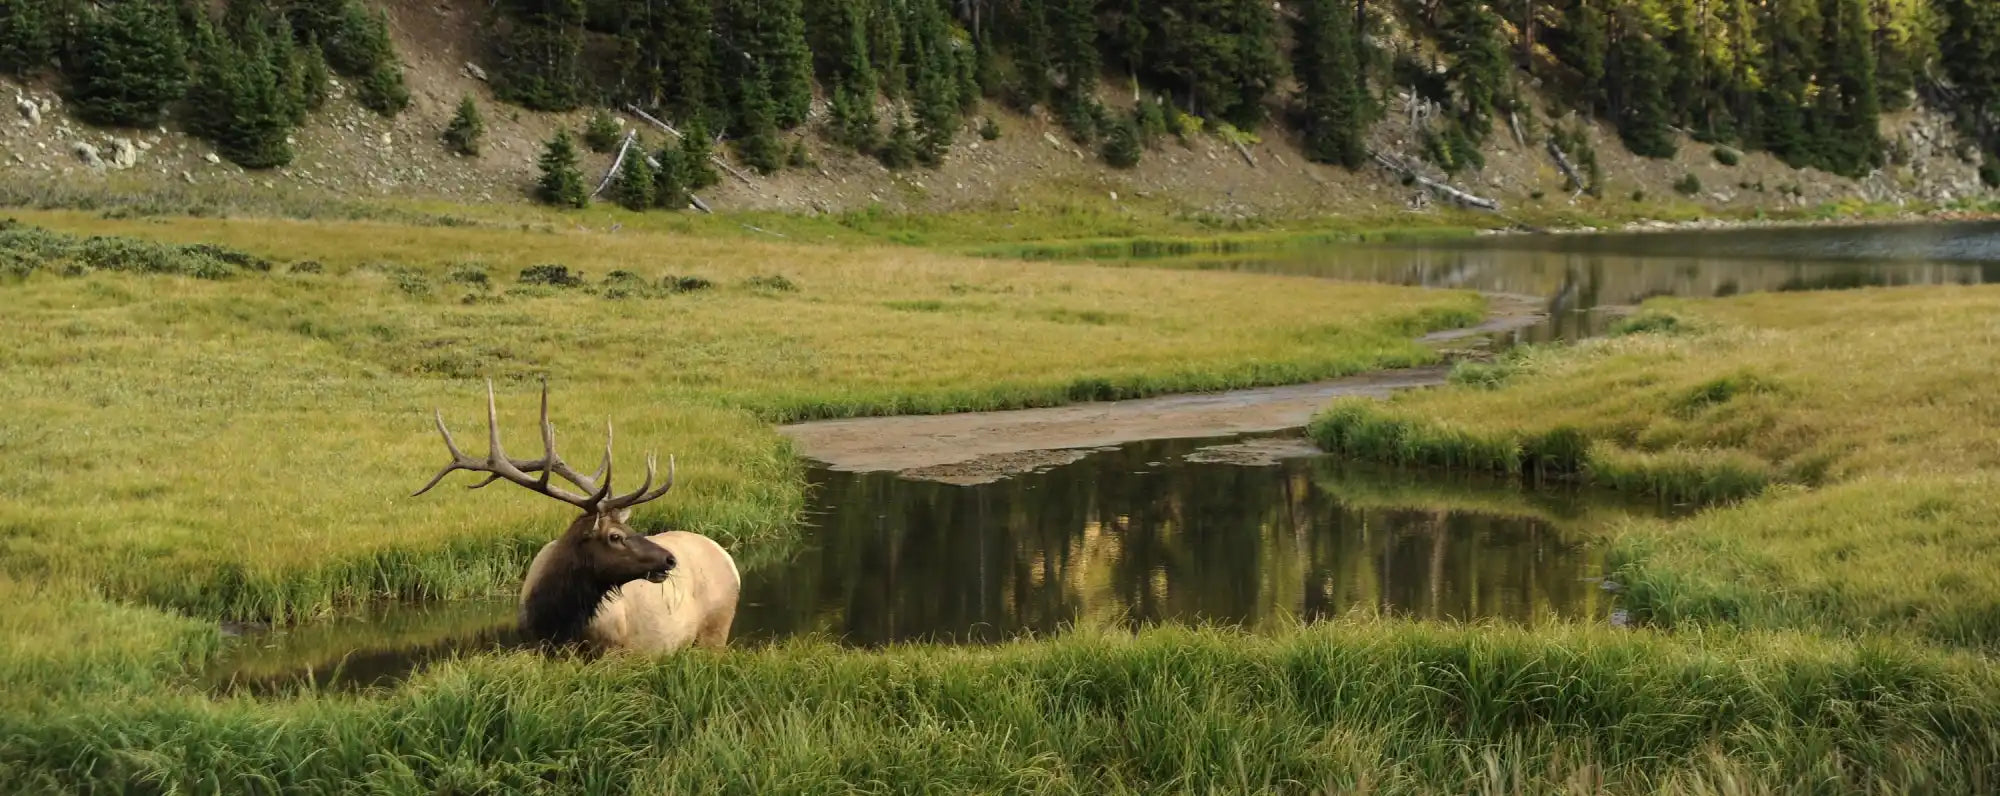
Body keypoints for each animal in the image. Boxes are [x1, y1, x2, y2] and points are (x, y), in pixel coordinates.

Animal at [411, 378, 740, 653]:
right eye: (615, 535)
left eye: (630, 527)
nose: (670, 559)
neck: (557, 622)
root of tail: (728, 559)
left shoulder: (615, 651)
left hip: (715, 630)